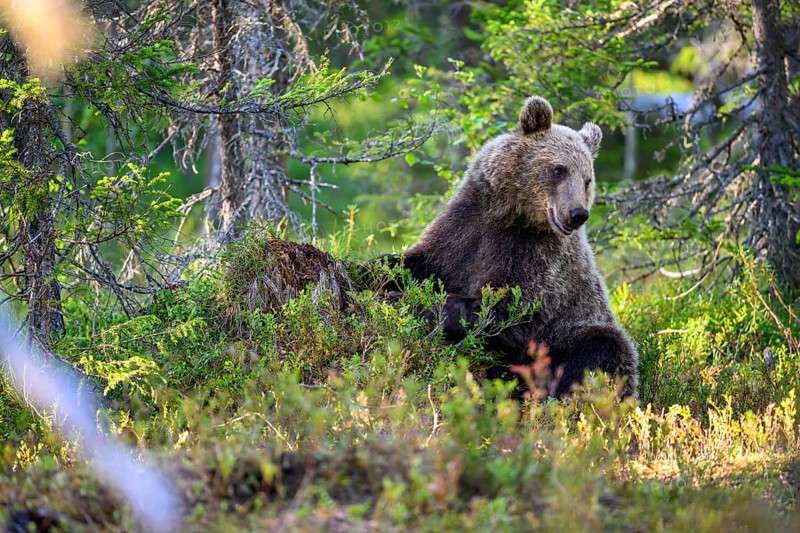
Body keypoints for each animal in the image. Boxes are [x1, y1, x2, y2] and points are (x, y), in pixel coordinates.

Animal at [390, 96, 638, 398]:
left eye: (587, 179)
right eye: (559, 170)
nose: (578, 214)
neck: (512, 215)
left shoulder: (537, 258)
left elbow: (507, 308)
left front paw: (412, 301)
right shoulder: (467, 226)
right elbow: (421, 261)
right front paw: (371, 276)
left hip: (575, 332)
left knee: (603, 348)